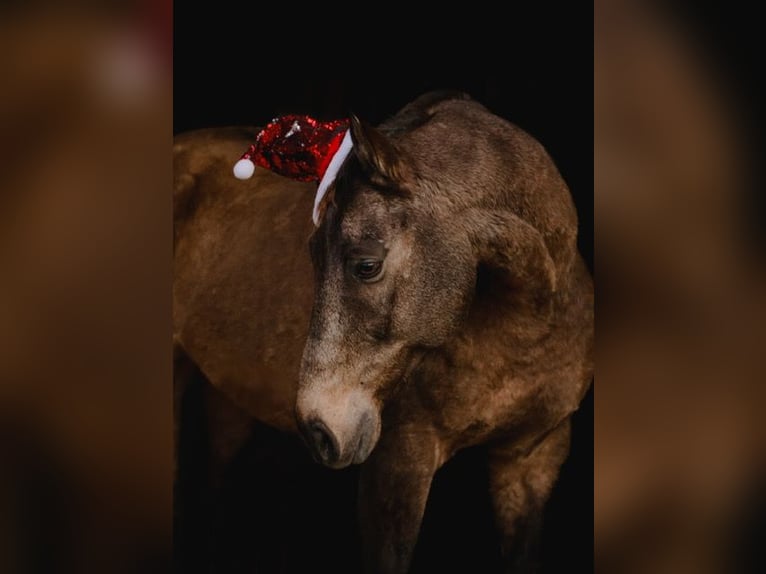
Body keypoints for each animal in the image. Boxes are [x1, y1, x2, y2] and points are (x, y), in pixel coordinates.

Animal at [174, 92, 592, 572]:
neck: (525, 331)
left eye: (366, 265)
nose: (317, 431)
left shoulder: (532, 460)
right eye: (311, 256)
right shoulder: (399, 462)